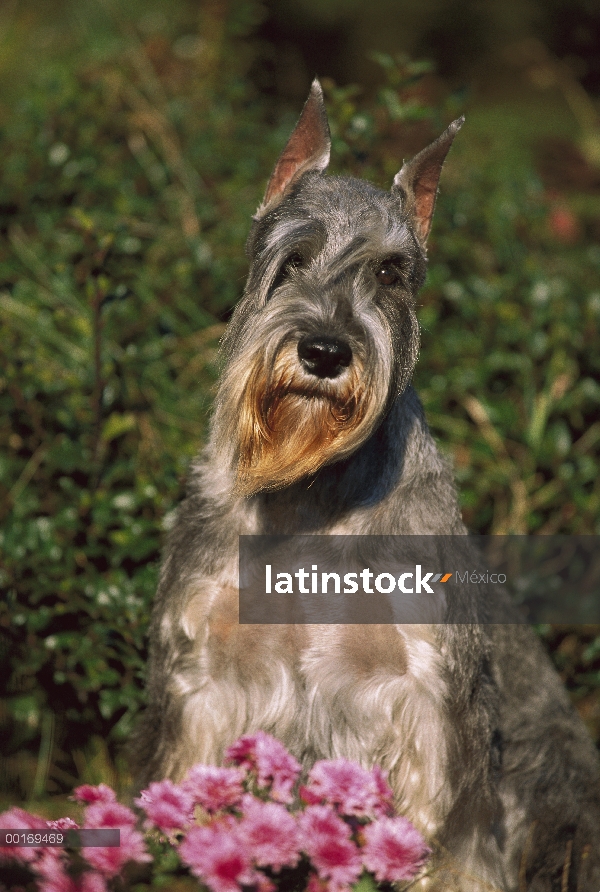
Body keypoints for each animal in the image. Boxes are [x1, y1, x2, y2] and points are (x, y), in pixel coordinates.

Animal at [134, 80, 600, 888]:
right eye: (291, 259)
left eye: (389, 272)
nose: (325, 351)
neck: (310, 494)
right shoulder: (207, 683)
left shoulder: (430, 710)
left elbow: (448, 849)